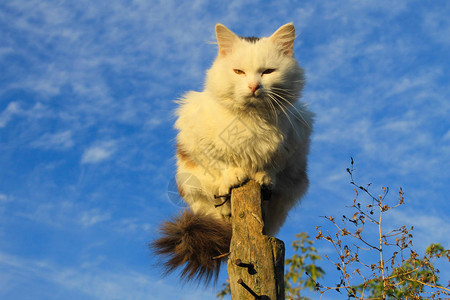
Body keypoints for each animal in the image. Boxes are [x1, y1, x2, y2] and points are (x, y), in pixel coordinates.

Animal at [151, 23, 312, 284]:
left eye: (268, 72)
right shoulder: (200, 143)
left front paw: (261, 177)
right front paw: (234, 176)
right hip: (190, 185)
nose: (254, 87)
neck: (251, 117)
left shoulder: (291, 145)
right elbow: (223, 162)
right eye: (239, 72)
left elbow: (269, 167)